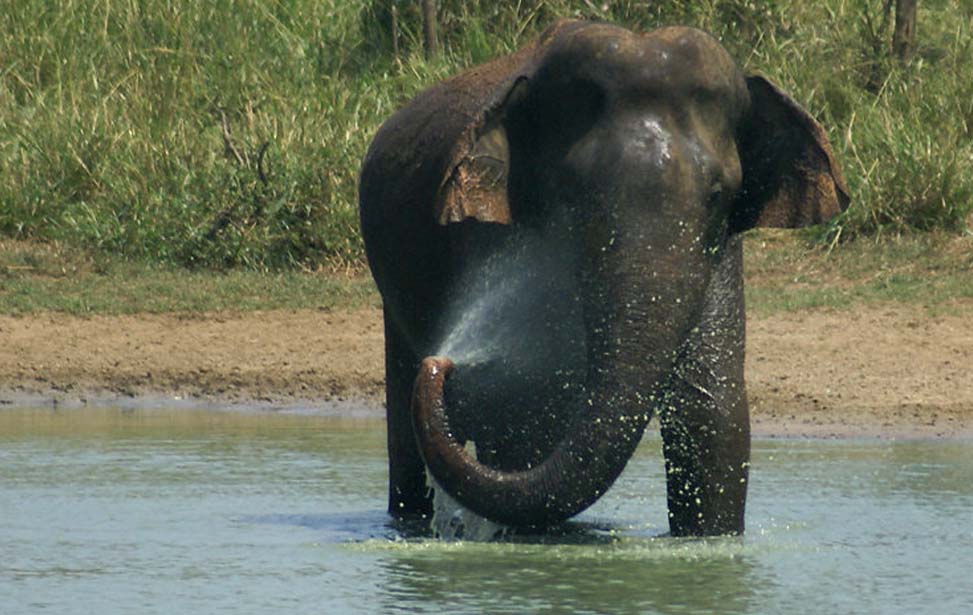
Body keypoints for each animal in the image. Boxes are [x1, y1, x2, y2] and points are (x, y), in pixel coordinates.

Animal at [360, 18, 848, 540]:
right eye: (573, 194)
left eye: (717, 195)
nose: (444, 364)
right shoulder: (488, 234)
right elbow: (515, 401)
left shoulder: (720, 251)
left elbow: (709, 407)